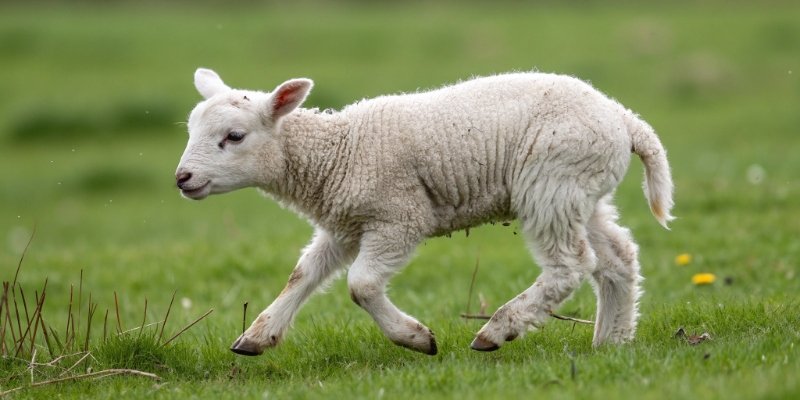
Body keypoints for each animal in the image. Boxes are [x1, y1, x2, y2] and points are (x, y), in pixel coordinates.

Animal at [175, 68, 674, 356]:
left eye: (234, 137)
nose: (182, 178)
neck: (335, 154)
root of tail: (625, 119)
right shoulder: (344, 225)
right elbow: (302, 275)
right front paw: (258, 337)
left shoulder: (398, 218)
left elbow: (361, 286)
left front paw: (416, 338)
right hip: (581, 193)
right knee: (617, 259)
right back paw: (610, 342)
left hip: (552, 183)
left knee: (569, 266)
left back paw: (497, 330)